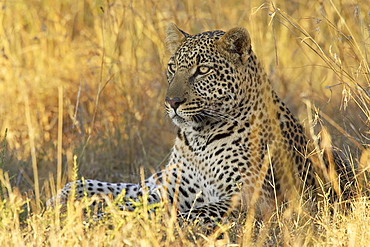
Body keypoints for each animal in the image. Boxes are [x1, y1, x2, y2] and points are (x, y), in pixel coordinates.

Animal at [47, 23, 354, 226]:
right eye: (172, 67)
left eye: (203, 70)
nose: (171, 101)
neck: (197, 138)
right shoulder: (168, 185)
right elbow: (119, 189)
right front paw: (61, 199)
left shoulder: (249, 199)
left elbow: (179, 214)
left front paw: (96, 221)